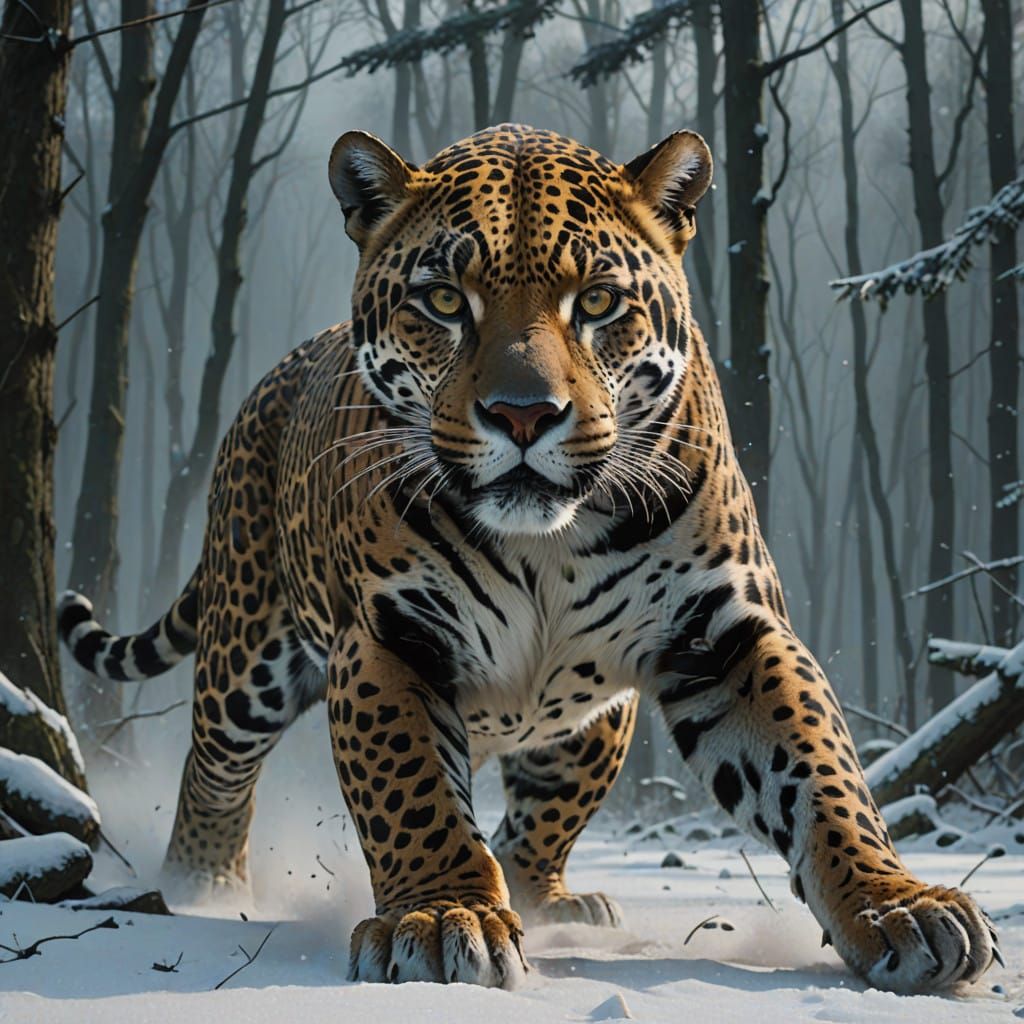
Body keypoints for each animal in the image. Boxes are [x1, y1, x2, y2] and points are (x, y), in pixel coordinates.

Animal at [59, 123, 999, 994]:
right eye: (444, 300)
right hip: (246, 654)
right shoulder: (391, 638)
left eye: (598, 301)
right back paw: (204, 888)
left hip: (592, 724)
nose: (522, 414)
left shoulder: (723, 634)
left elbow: (822, 774)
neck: (547, 544)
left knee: (535, 823)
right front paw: (444, 916)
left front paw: (897, 906)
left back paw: (553, 900)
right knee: (213, 771)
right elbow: (411, 791)